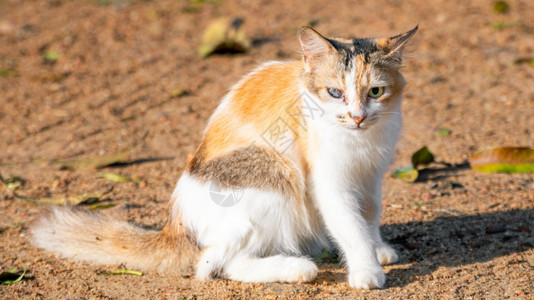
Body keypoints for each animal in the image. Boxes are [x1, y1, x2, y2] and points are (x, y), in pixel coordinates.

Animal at [31, 26, 418, 290]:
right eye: (335, 93)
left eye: (376, 92)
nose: (358, 117)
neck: (362, 142)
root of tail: (177, 225)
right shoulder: (330, 184)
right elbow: (350, 227)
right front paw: (367, 270)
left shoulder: (370, 176)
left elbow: (369, 216)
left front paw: (377, 249)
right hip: (274, 177)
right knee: (213, 264)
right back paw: (296, 268)